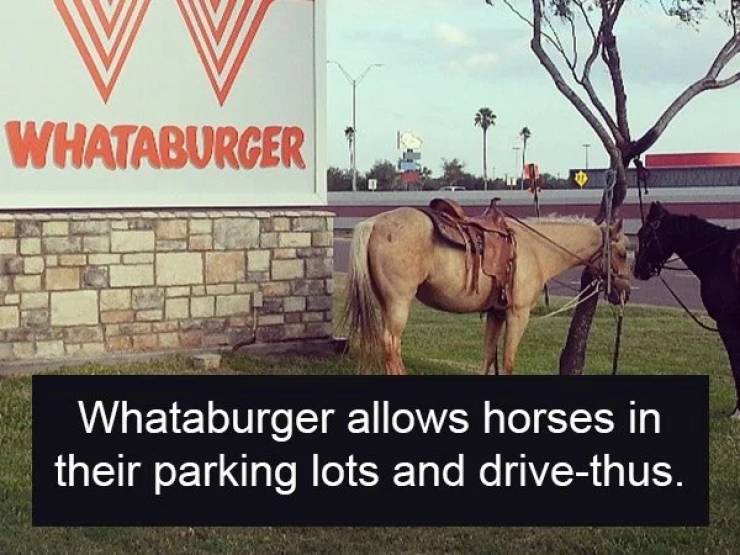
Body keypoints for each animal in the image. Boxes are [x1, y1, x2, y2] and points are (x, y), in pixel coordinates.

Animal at [342, 206, 632, 376]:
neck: (535, 249)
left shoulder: (496, 313)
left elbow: (488, 358)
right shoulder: (518, 314)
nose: (625, 292)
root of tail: (374, 223)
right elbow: (508, 361)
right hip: (399, 303)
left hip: (386, 302)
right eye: (622, 252)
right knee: (391, 346)